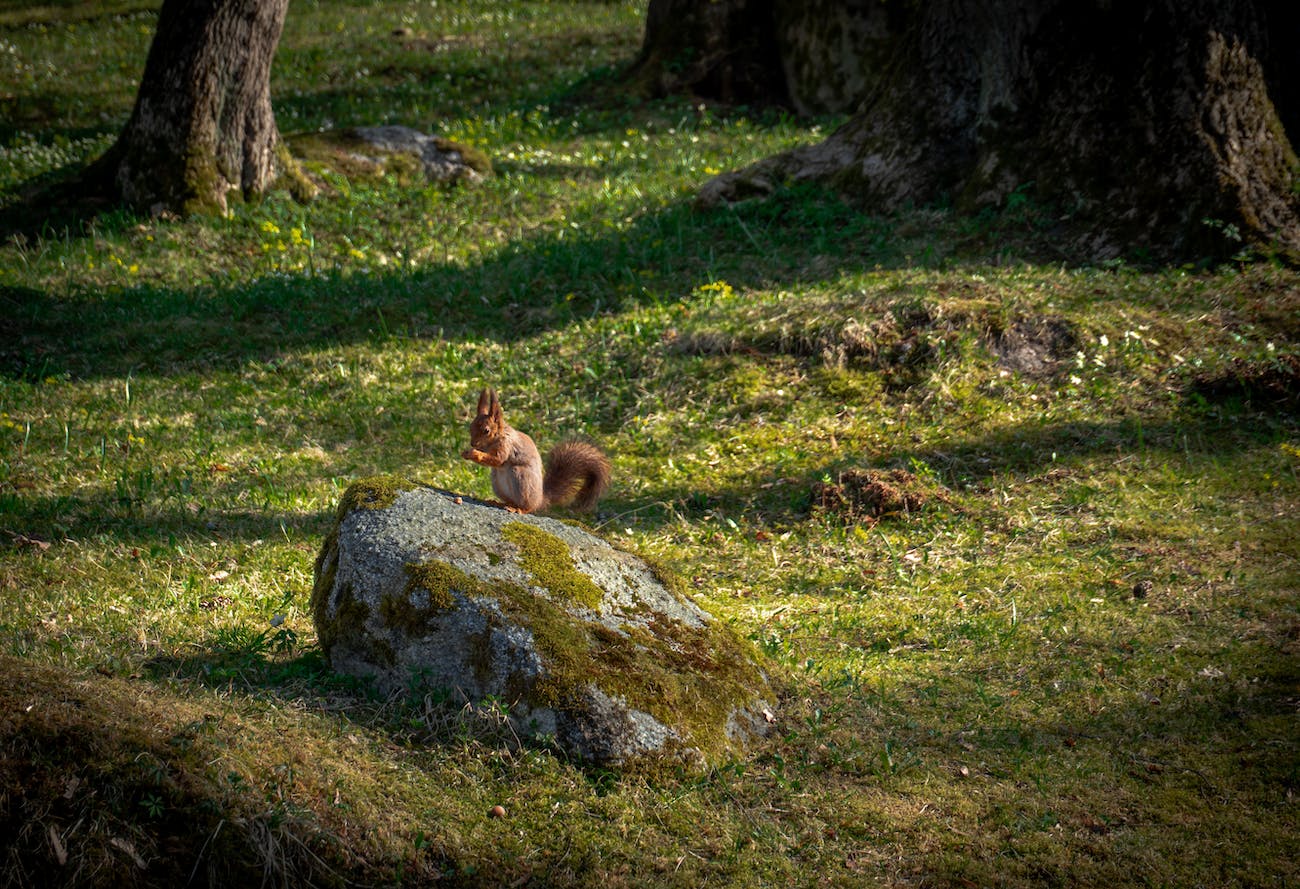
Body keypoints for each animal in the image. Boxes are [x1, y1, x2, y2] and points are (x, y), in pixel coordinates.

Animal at [460, 387, 611, 514]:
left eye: (486, 431)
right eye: (470, 426)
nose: (472, 443)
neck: (498, 436)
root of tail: (540, 500)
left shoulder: (506, 446)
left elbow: (498, 459)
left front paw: (474, 454)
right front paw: (465, 453)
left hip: (520, 477)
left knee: (528, 507)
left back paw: (518, 509)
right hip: (497, 481)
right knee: (510, 499)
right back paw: (498, 502)